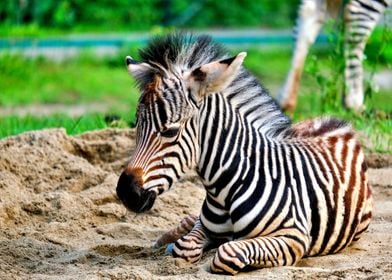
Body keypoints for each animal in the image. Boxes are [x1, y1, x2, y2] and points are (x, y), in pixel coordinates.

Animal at [115, 33, 370, 276]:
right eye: (137, 125)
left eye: (170, 131)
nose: (126, 193)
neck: (224, 189)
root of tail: (335, 123)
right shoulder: (205, 227)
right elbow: (184, 246)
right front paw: (177, 244)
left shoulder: (294, 236)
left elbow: (227, 252)